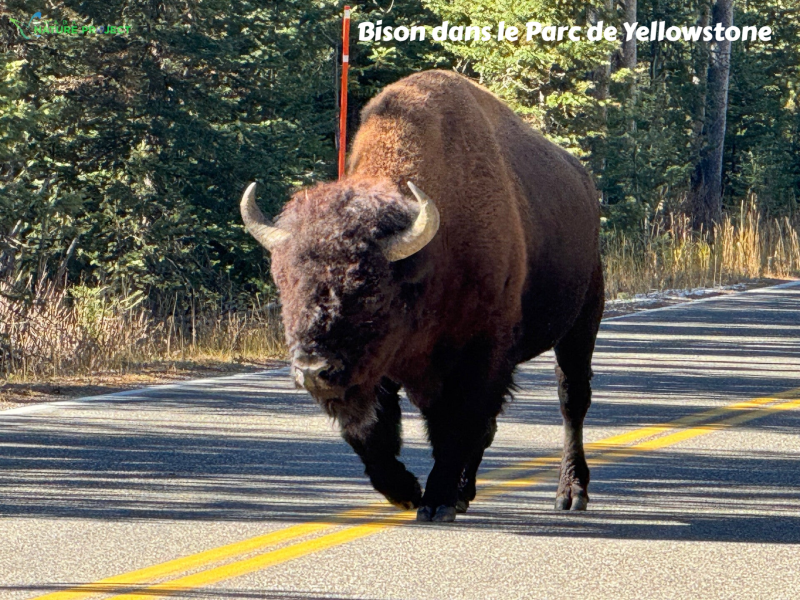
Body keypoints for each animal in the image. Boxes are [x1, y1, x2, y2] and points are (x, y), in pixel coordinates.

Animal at [241, 70, 603, 522]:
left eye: (369, 289)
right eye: (286, 285)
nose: (312, 370)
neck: (431, 255)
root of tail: (584, 182)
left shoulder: (479, 354)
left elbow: (455, 425)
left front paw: (436, 501)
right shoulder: (378, 370)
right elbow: (373, 433)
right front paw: (408, 492)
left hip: (582, 320)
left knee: (572, 401)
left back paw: (570, 493)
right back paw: (466, 492)